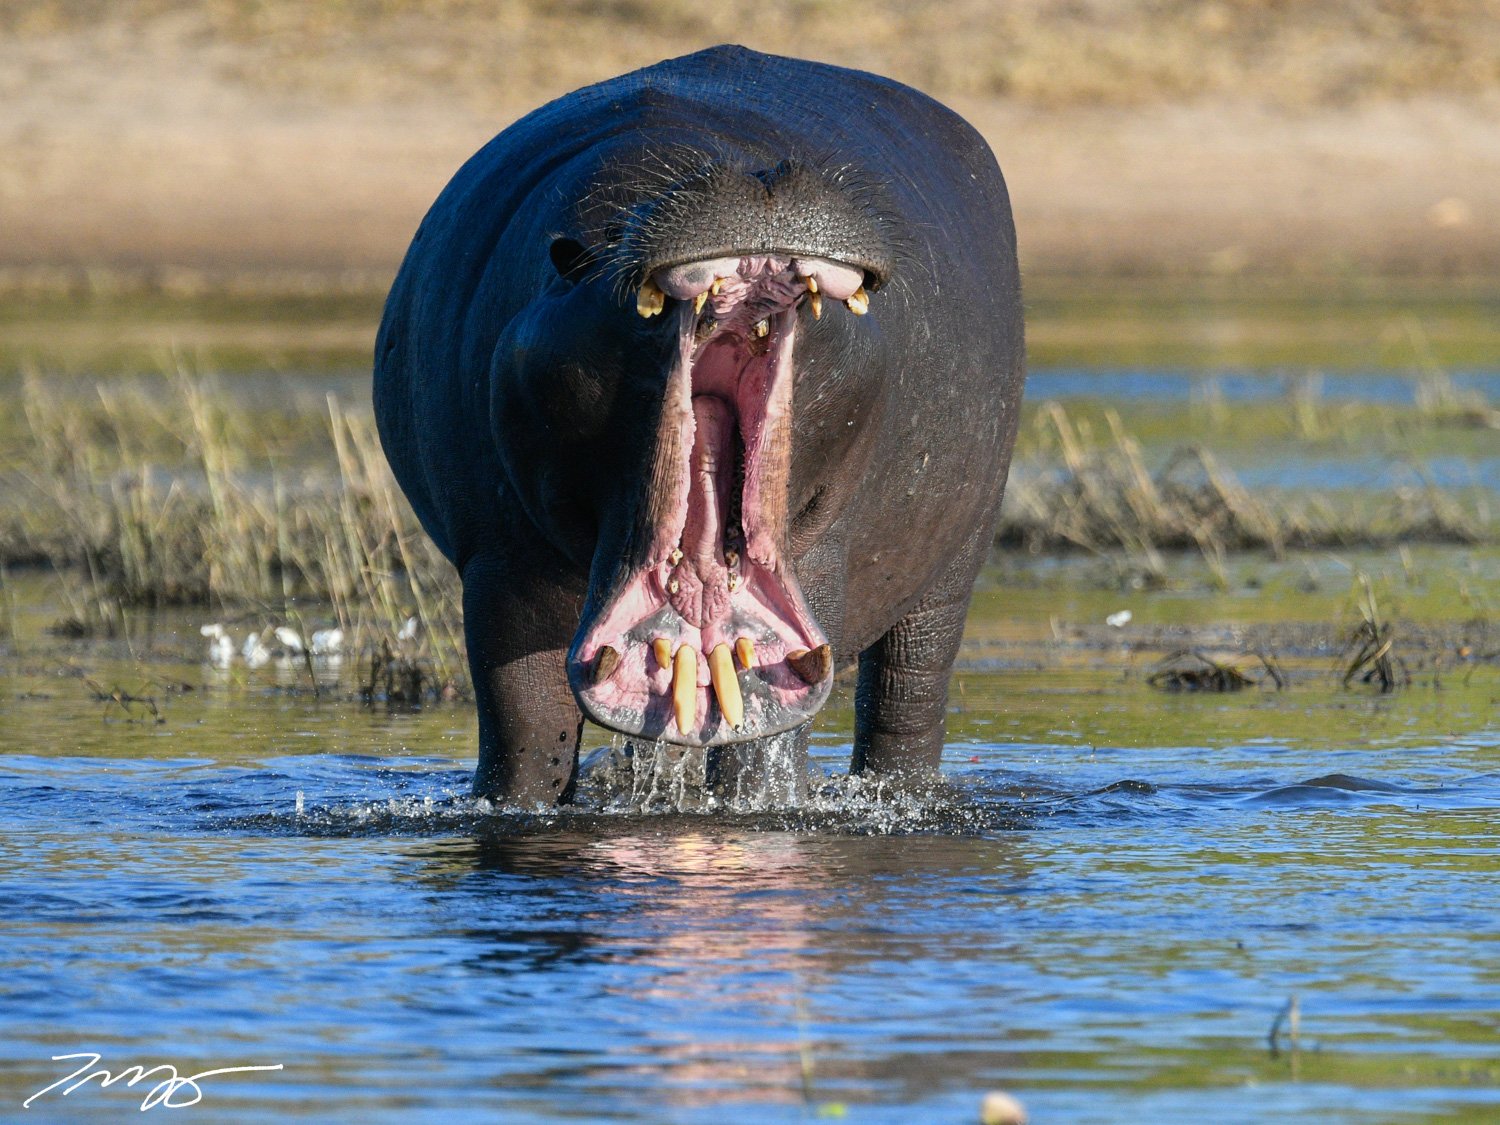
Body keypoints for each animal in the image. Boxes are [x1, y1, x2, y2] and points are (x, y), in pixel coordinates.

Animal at [374, 45, 1025, 804]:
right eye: (596, 254)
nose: (759, 174)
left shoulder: (821, 552)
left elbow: (764, 734)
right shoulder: (500, 562)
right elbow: (525, 727)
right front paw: (516, 809)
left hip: (956, 559)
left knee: (909, 690)